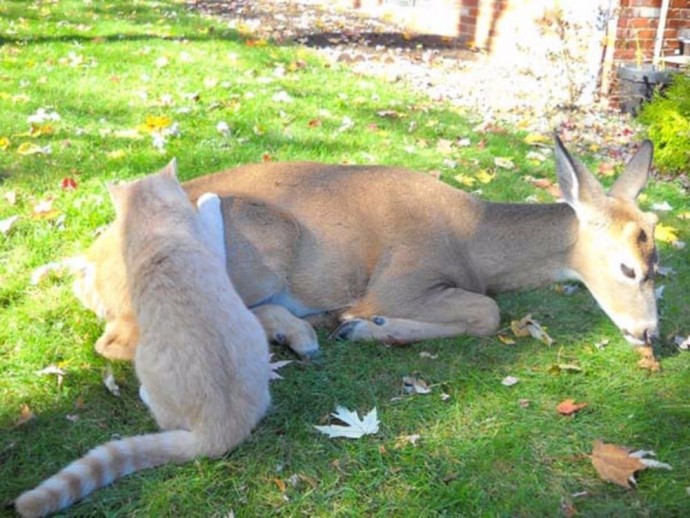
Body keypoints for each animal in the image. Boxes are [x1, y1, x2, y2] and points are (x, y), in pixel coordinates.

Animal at [71, 138, 656, 364]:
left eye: (659, 265)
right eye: (627, 268)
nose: (650, 333)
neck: (473, 238)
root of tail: (89, 272)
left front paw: (354, 326)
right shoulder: (402, 279)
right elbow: (487, 311)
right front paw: (365, 326)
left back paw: (299, 332)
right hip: (263, 240)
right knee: (122, 339)